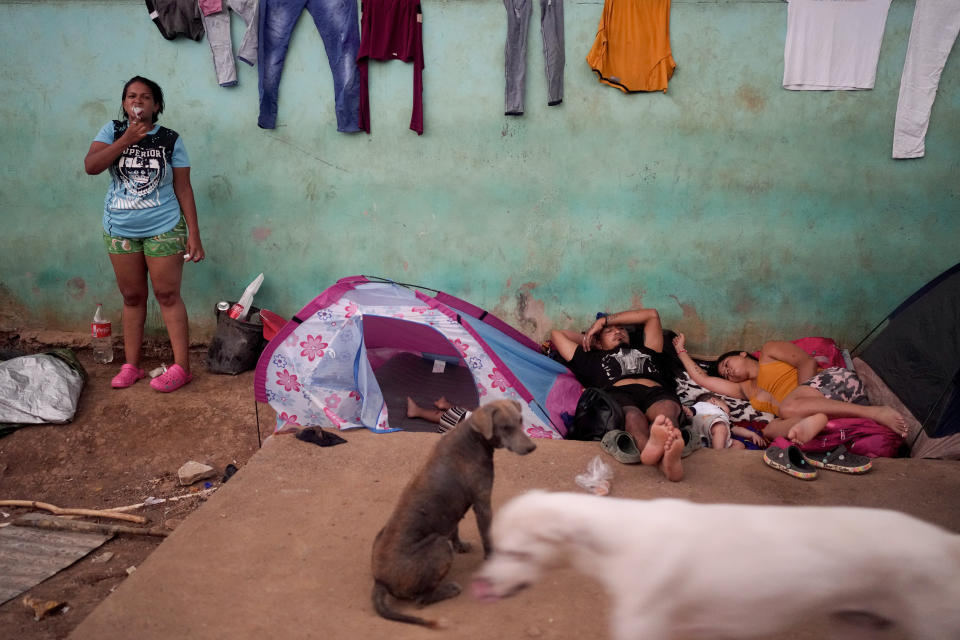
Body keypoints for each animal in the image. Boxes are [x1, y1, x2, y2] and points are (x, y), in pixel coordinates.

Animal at [370, 400, 532, 624]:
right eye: (506, 427)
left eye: (521, 421)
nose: (532, 447)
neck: (472, 439)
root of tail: (380, 581)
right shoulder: (483, 504)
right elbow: (487, 538)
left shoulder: (454, 509)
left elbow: (455, 528)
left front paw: (461, 545)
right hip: (440, 546)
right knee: (422, 599)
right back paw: (449, 589)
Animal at [472, 492, 960, 636]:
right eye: (494, 549)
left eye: (515, 553)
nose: (481, 585)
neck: (622, 538)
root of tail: (946, 541)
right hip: (855, 623)